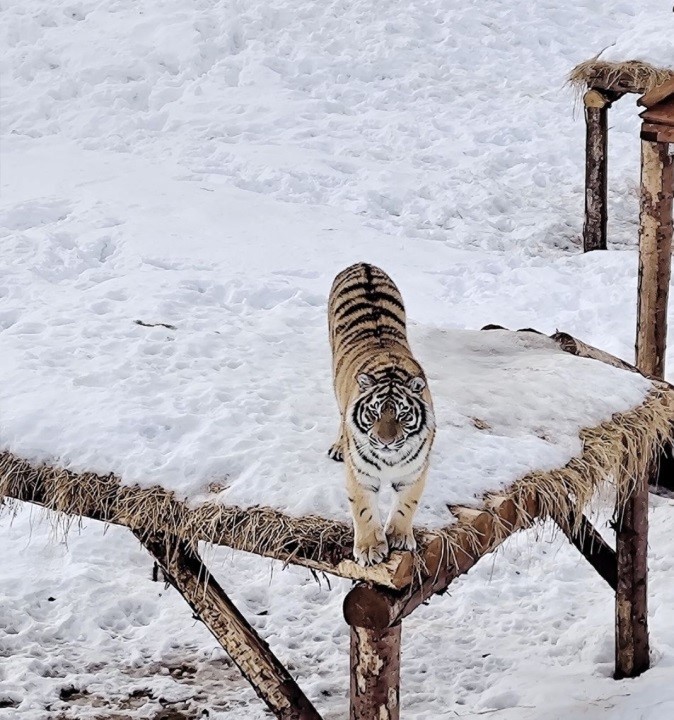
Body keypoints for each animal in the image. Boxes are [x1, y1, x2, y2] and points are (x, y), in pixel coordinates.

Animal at [328, 262, 435, 566]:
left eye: (402, 415)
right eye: (374, 413)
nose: (386, 441)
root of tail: (362, 263)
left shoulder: (415, 472)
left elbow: (407, 505)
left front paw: (399, 537)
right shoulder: (359, 475)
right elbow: (363, 511)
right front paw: (369, 549)